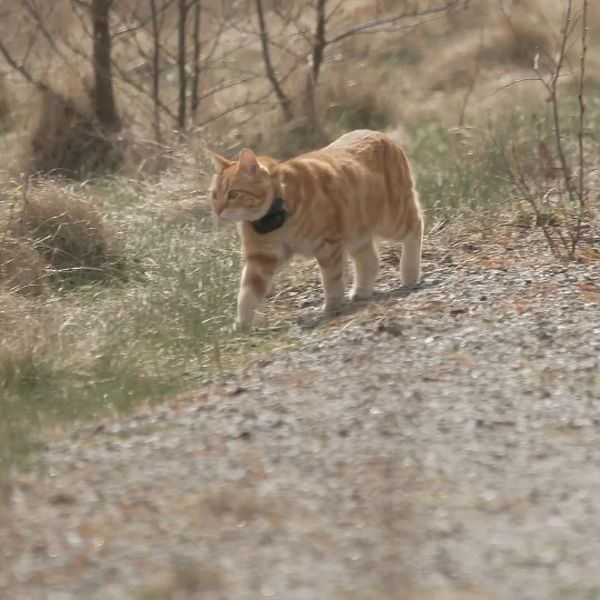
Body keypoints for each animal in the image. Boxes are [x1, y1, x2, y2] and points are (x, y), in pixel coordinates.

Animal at [210, 128, 422, 330]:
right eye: (214, 195)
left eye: (233, 194)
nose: (218, 210)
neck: (277, 217)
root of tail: (380, 134)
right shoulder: (260, 259)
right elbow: (247, 295)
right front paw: (240, 325)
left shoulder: (327, 245)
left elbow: (331, 279)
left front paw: (333, 305)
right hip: (358, 232)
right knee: (370, 260)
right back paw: (361, 291)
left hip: (392, 219)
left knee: (416, 227)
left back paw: (409, 273)